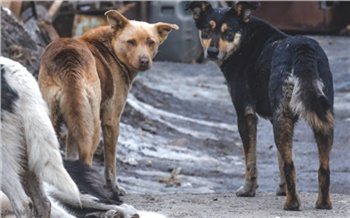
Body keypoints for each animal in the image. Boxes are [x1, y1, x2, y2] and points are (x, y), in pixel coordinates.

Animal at [39, 10, 178, 194]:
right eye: (131, 42)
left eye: (151, 42)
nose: (144, 61)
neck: (111, 47)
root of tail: (69, 58)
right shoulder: (111, 121)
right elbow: (111, 163)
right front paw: (114, 187)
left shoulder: (74, 122)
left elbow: (71, 152)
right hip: (93, 127)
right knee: (86, 157)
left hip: (54, 119)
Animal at [187, 0, 334, 210]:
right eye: (207, 29)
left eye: (228, 32)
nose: (212, 52)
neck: (244, 39)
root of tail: (303, 49)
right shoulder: (274, 118)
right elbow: (280, 158)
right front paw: (282, 189)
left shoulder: (245, 114)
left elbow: (250, 158)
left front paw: (249, 189)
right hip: (322, 117)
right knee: (323, 166)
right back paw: (323, 203)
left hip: (285, 117)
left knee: (291, 165)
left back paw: (292, 203)